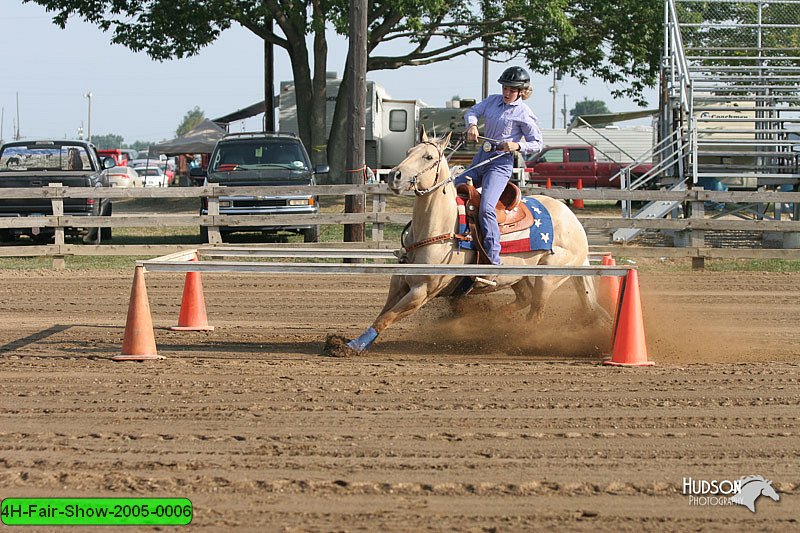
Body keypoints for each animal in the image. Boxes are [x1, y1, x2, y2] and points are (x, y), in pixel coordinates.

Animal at [324, 127, 608, 356]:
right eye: (408, 151)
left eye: (428, 157)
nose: (395, 175)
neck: (439, 226)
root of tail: (573, 220)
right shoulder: (400, 282)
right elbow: (382, 313)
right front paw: (349, 341)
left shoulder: (422, 291)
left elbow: (388, 317)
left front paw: (352, 347)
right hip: (519, 276)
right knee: (525, 300)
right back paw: (484, 323)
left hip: (548, 278)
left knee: (535, 314)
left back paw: (508, 342)